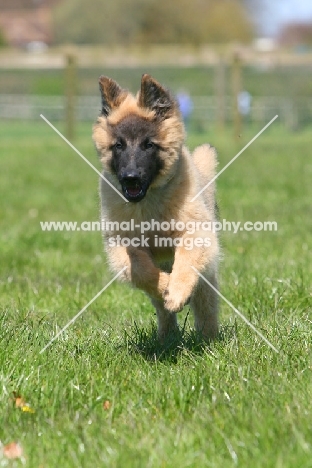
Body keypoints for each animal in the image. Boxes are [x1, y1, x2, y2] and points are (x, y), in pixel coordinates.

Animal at [92, 75, 219, 342]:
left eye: (148, 145)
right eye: (118, 145)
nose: (130, 178)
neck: (148, 201)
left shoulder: (196, 233)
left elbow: (186, 262)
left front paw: (178, 292)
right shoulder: (121, 244)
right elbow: (141, 272)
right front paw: (166, 288)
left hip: (208, 270)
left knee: (206, 303)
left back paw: (208, 337)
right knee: (161, 306)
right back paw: (166, 336)